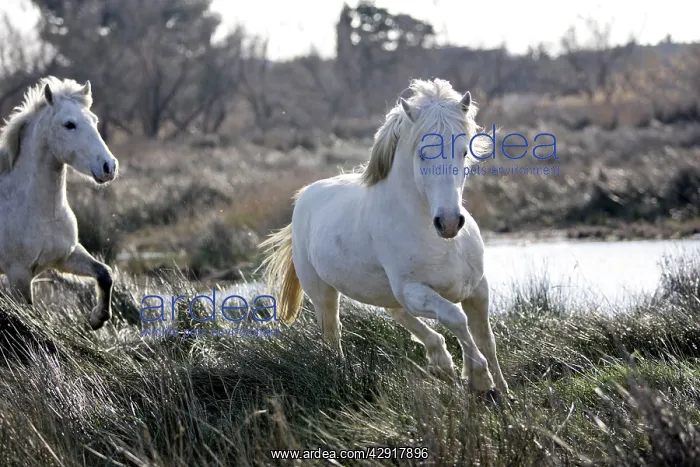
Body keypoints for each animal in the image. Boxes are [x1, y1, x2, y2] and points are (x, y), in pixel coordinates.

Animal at [0, 76, 118, 330]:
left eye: (94, 120)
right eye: (69, 124)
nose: (109, 166)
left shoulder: (67, 256)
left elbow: (104, 274)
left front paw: (97, 319)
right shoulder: (19, 275)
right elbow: (28, 313)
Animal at [260, 78, 509, 397]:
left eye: (464, 151)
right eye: (422, 153)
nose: (450, 223)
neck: (442, 243)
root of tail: (305, 195)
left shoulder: (477, 289)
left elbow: (486, 338)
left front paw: (501, 391)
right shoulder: (413, 290)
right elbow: (456, 318)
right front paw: (480, 378)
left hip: (386, 291)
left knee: (398, 315)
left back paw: (441, 363)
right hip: (323, 293)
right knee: (332, 333)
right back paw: (344, 374)